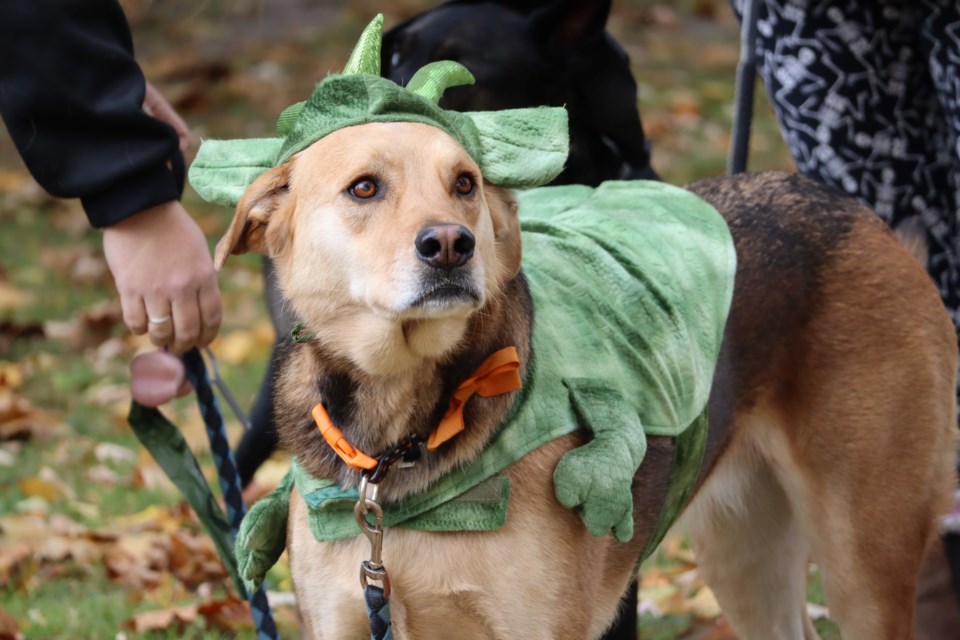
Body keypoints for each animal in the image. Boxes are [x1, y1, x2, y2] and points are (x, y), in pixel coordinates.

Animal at [219, 121, 960, 640]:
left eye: (465, 183)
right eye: (364, 187)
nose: (452, 245)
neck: (400, 445)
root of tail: (862, 218)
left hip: (864, 561)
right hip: (745, 553)